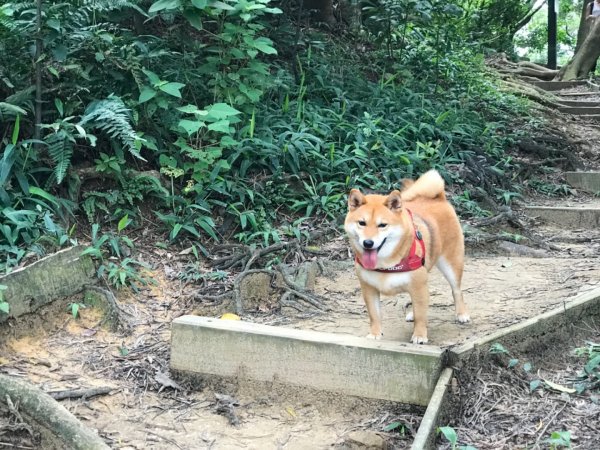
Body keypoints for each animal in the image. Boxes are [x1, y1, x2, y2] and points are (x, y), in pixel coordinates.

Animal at [342, 170, 468, 344]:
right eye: (362, 223)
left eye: (382, 225)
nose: (368, 243)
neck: (386, 264)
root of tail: (439, 197)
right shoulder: (369, 288)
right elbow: (374, 315)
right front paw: (375, 334)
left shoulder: (419, 285)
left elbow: (421, 316)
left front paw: (420, 335)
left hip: (451, 264)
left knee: (456, 290)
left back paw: (461, 314)